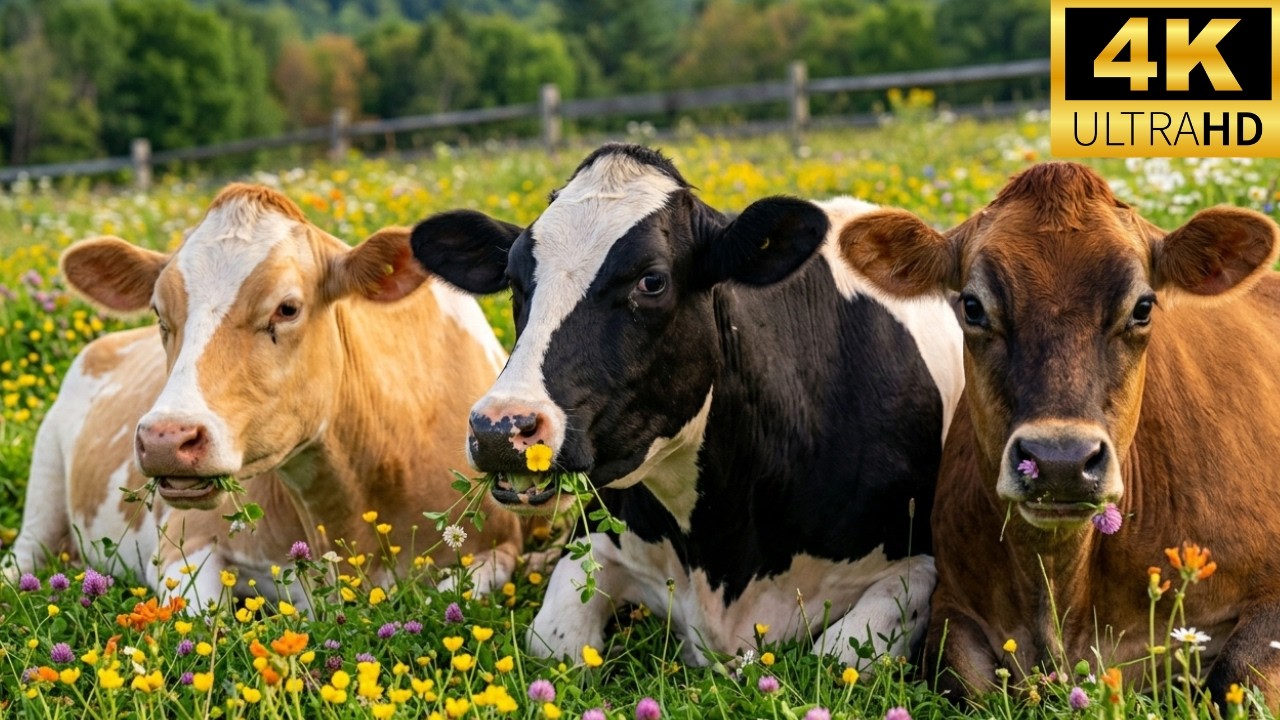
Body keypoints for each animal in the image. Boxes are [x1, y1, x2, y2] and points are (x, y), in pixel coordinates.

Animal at [5, 184, 522, 608]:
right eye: (158, 312)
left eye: (287, 308)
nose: (164, 439)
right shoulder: (184, 542)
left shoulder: (499, 549)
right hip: (43, 480)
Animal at [408, 143, 964, 668]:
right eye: (515, 280)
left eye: (651, 280)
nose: (499, 428)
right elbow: (554, 641)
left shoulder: (919, 562)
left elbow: (838, 654)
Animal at [838, 161, 1280, 703]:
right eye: (972, 306)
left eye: (1143, 307)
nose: (1060, 461)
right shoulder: (954, 602)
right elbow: (961, 675)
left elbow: (1235, 673)